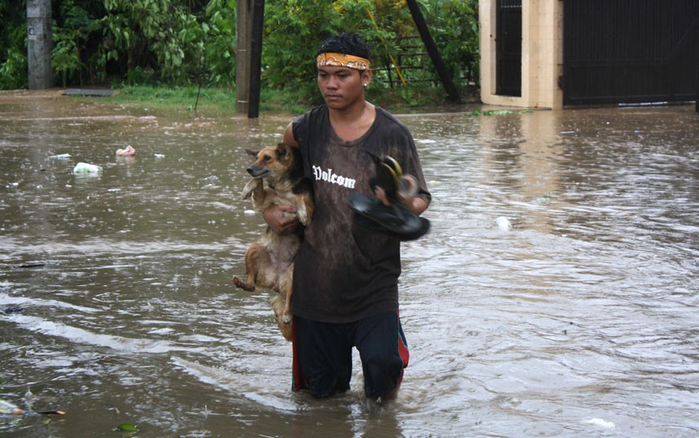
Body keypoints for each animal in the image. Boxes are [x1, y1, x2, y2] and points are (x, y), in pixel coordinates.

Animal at [232, 142, 314, 340]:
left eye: (267, 158)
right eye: (256, 158)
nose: (249, 169)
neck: (283, 188)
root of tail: (275, 282)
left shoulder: (312, 207)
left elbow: (301, 199)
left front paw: (301, 213)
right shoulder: (263, 202)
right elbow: (258, 183)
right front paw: (247, 188)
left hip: (293, 275)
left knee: (289, 304)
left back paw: (286, 315)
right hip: (253, 249)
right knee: (251, 285)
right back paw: (241, 282)